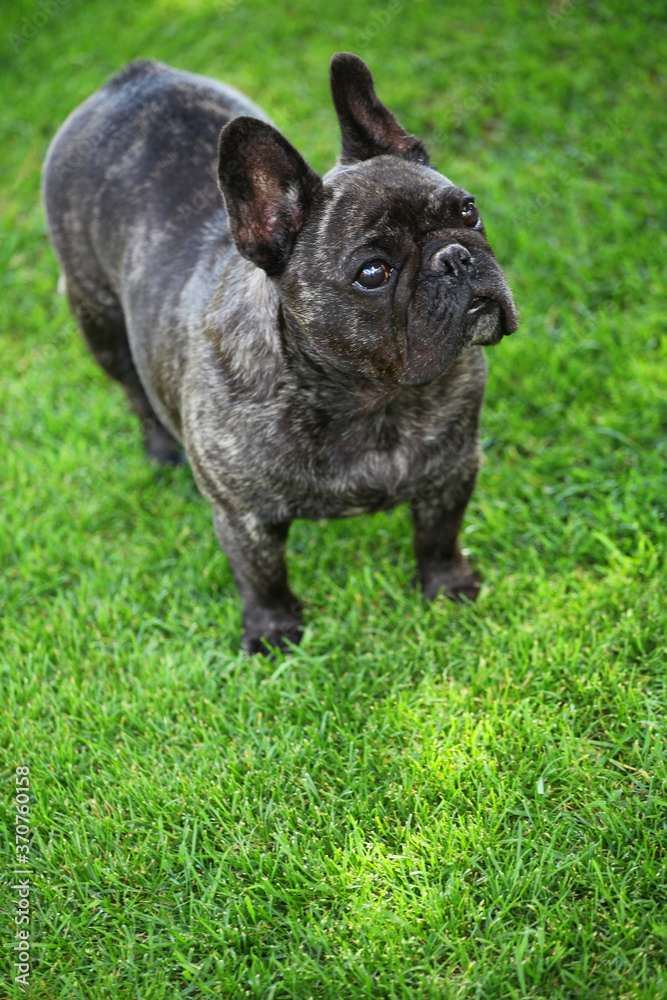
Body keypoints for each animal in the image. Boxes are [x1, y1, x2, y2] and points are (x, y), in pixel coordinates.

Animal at [41, 52, 520, 656]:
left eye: (468, 212)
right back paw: (161, 451)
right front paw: (272, 634)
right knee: (133, 390)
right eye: (373, 273)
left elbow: (439, 536)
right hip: (98, 320)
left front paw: (448, 588)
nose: (455, 256)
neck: (366, 396)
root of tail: (132, 78)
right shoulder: (242, 514)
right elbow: (261, 575)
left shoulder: (453, 470)